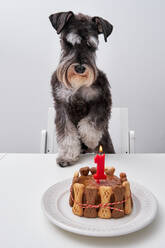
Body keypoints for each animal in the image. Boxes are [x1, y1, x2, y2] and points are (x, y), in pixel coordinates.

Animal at [49, 11, 114, 167]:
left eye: (91, 46)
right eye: (69, 44)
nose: (79, 68)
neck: (78, 84)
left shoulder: (102, 99)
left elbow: (92, 121)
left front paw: (89, 139)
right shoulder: (61, 105)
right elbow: (67, 133)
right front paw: (66, 157)